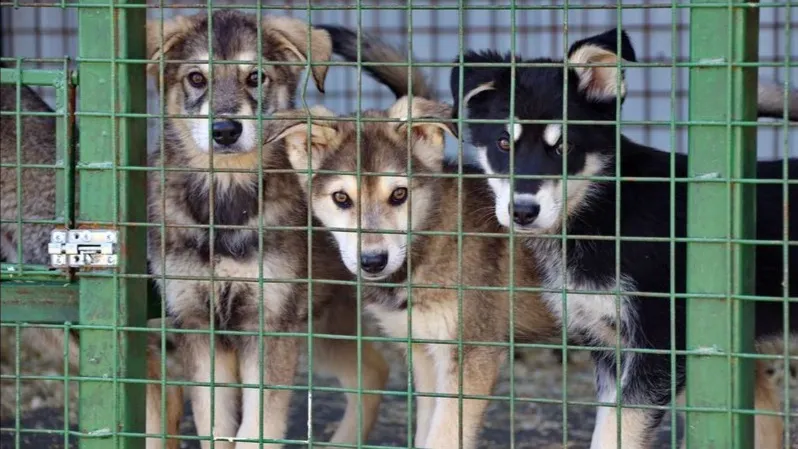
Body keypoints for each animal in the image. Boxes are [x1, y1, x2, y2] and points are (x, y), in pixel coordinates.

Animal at [454, 28, 796, 448]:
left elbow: (619, 430)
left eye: (565, 146)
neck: (605, 210)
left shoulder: (660, 346)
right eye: (504, 143)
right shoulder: (608, 346)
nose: (522, 211)